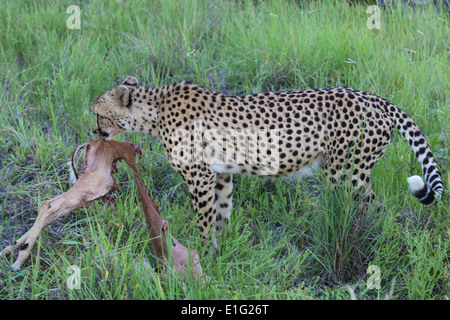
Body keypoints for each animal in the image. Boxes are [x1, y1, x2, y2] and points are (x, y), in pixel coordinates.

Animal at [91, 76, 442, 244]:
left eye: (97, 112)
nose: (94, 130)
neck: (154, 111)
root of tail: (374, 97)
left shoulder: (200, 177)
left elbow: (204, 220)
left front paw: (201, 254)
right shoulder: (221, 174)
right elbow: (222, 214)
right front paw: (221, 251)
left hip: (347, 173)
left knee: (375, 210)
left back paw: (368, 242)